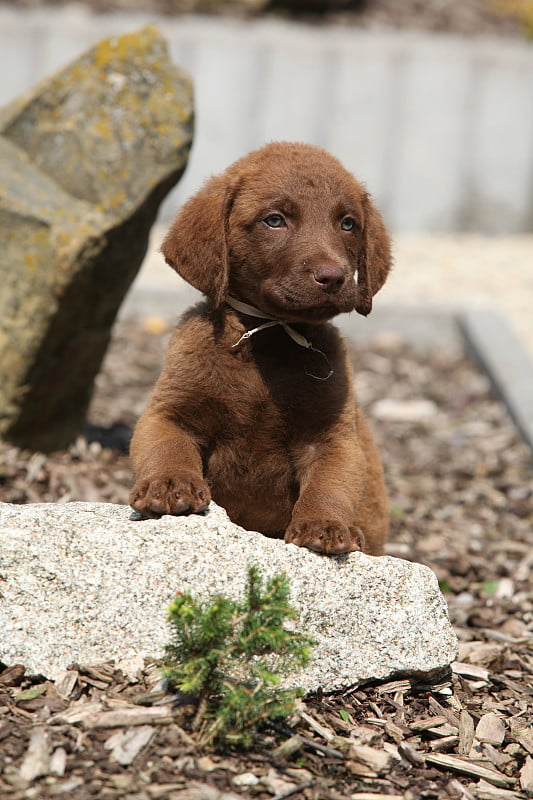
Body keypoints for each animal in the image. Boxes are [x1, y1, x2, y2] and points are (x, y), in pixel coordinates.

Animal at [130, 142, 390, 556]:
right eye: (274, 220)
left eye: (348, 224)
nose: (333, 277)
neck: (270, 338)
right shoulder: (169, 412)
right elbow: (167, 448)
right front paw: (169, 485)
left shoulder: (333, 439)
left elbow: (330, 485)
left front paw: (324, 524)